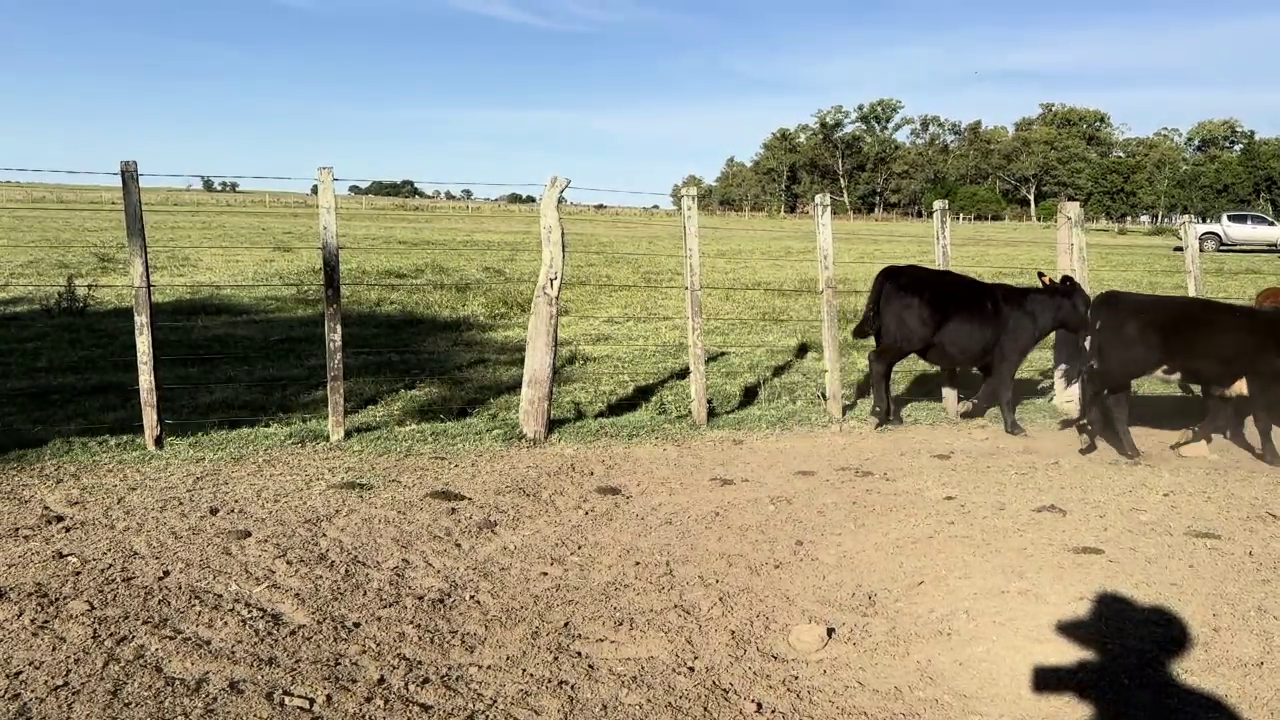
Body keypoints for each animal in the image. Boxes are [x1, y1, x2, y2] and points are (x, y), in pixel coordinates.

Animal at [851, 264, 1091, 436]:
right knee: (877, 361)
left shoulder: (988, 359)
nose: (1089, 329)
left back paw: (894, 417)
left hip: (887, 339)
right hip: (904, 341)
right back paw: (878, 413)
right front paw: (1013, 427)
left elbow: (990, 385)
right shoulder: (1010, 355)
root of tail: (895, 270)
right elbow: (1004, 388)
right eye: (1085, 304)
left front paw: (968, 407)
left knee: (885, 371)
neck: (1031, 311)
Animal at [1072, 290, 1280, 465]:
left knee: (1116, 405)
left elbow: (1219, 416)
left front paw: (1189, 437)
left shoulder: (1223, 382)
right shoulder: (1260, 380)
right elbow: (1262, 421)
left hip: (1121, 375)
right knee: (1091, 382)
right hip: (1122, 366)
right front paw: (1273, 458)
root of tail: (1113, 295)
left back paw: (1131, 450)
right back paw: (1090, 429)